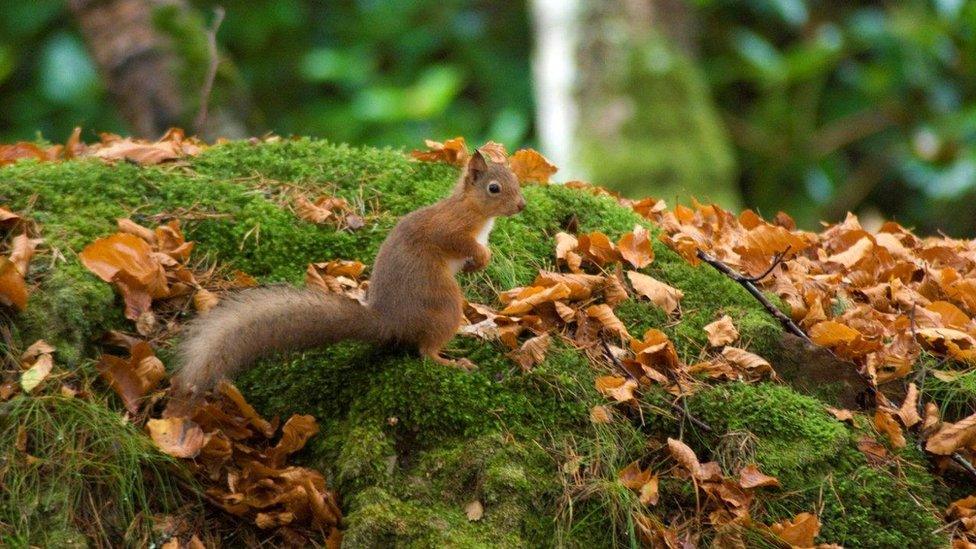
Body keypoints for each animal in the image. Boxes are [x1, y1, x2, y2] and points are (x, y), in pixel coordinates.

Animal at [168, 148, 525, 411]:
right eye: (494, 188)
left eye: (515, 179)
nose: (522, 205)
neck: (475, 212)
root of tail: (391, 322)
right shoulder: (448, 230)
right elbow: (461, 244)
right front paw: (481, 258)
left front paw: (477, 265)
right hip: (444, 302)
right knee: (425, 351)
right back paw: (452, 361)